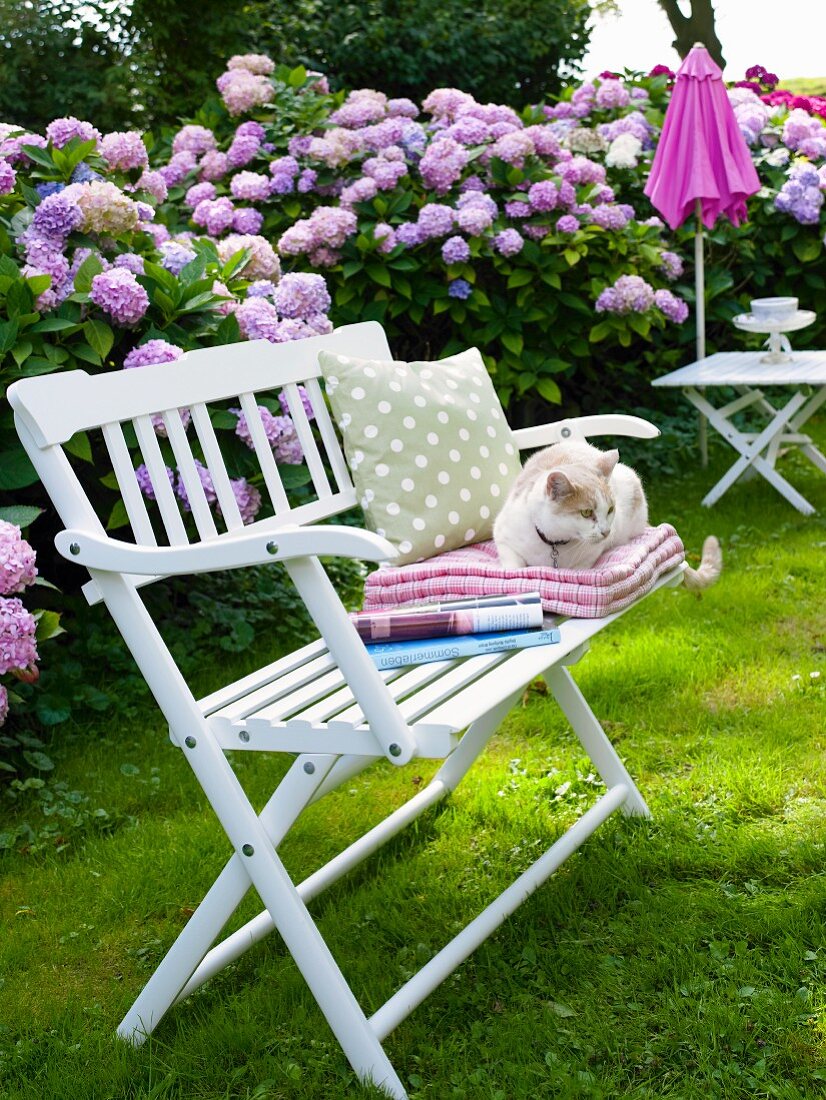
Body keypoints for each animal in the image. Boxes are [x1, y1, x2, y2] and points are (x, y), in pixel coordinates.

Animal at [494, 440, 721, 589]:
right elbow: (513, 569)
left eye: (610, 509)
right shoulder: (503, 536)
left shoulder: (590, 556)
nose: (606, 531)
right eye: (586, 513)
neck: (554, 544)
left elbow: (579, 569)